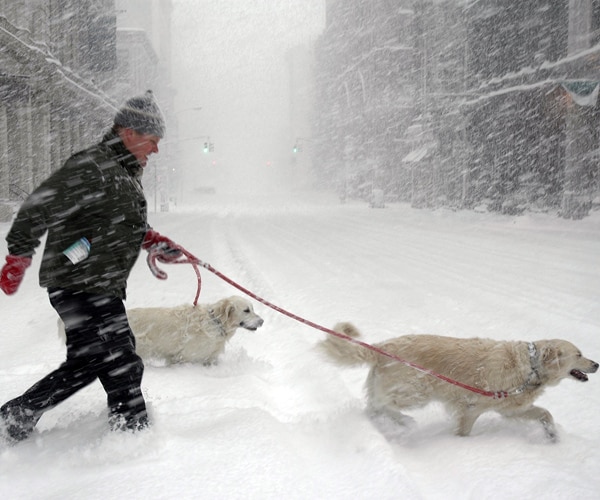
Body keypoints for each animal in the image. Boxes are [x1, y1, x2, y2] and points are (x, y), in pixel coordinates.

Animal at [318, 320, 596, 442]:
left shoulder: (511, 408)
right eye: (579, 354)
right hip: (417, 390)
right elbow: (465, 431)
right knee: (385, 405)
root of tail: (382, 347)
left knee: (374, 407)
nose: (597, 364)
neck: (530, 366)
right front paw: (461, 445)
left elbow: (545, 414)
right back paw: (405, 423)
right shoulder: (472, 408)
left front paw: (553, 436)